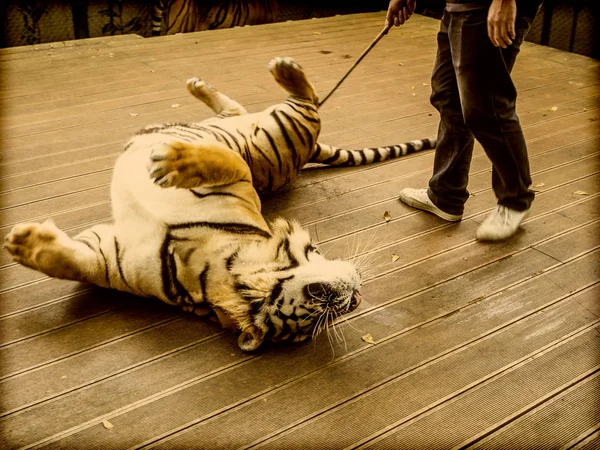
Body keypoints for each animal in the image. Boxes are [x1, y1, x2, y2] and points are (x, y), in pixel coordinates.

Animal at [5, 57, 436, 352]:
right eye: (318, 295)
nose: (356, 296)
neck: (209, 267)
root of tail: (306, 150)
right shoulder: (115, 254)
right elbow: (70, 263)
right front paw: (22, 244)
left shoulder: (241, 173)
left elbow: (221, 159)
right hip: (260, 134)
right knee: (260, 108)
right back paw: (241, 78)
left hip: (276, 138)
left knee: (308, 106)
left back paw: (281, 73)